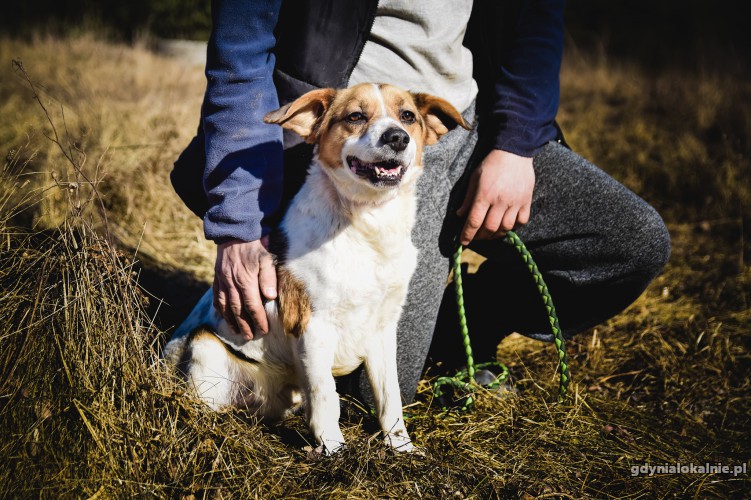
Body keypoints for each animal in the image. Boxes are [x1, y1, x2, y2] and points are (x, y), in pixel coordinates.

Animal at [164, 84, 468, 456]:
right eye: (356, 116)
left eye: (407, 116)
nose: (397, 137)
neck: (368, 225)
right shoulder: (312, 323)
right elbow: (325, 395)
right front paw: (334, 450)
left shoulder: (383, 328)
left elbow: (390, 397)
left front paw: (401, 447)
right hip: (205, 347)